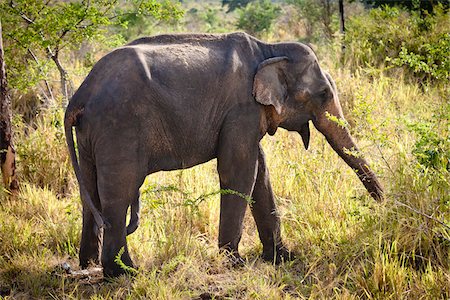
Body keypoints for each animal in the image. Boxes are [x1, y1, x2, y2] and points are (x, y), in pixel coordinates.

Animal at [65, 31, 384, 278]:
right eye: (323, 95)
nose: (383, 204)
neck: (270, 49)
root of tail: (80, 95)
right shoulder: (241, 108)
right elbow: (239, 171)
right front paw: (235, 262)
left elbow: (260, 172)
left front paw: (283, 258)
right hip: (119, 126)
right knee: (118, 194)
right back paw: (124, 273)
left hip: (91, 134)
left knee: (90, 191)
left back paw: (89, 265)